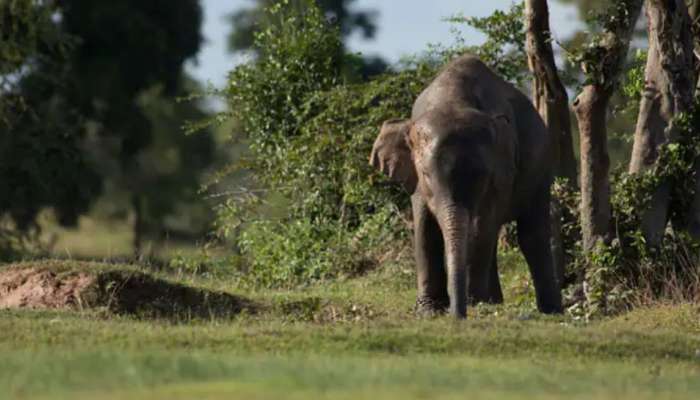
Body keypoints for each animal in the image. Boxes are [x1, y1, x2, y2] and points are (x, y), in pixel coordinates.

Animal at [372, 54, 564, 318]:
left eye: (484, 176)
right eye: (425, 174)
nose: (457, 315)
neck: (452, 99)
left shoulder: (501, 176)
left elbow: (480, 225)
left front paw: (473, 303)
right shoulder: (416, 184)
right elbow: (424, 229)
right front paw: (429, 311)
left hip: (541, 169)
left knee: (531, 234)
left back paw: (550, 311)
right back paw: (494, 301)